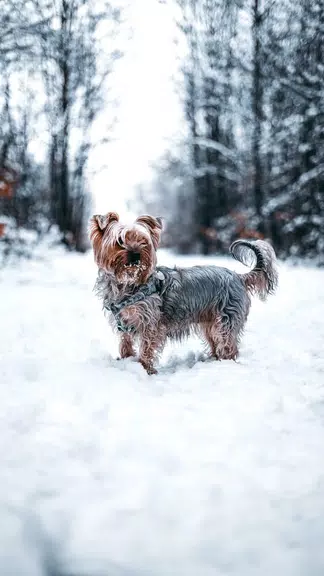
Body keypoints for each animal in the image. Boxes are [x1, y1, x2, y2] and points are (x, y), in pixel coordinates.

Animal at [89, 212, 278, 374]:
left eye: (143, 241)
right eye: (120, 241)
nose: (136, 254)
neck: (128, 284)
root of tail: (238, 277)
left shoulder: (150, 323)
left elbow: (147, 347)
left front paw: (145, 368)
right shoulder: (124, 321)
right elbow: (125, 342)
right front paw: (126, 359)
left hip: (226, 320)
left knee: (228, 345)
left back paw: (225, 364)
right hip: (210, 322)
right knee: (216, 342)